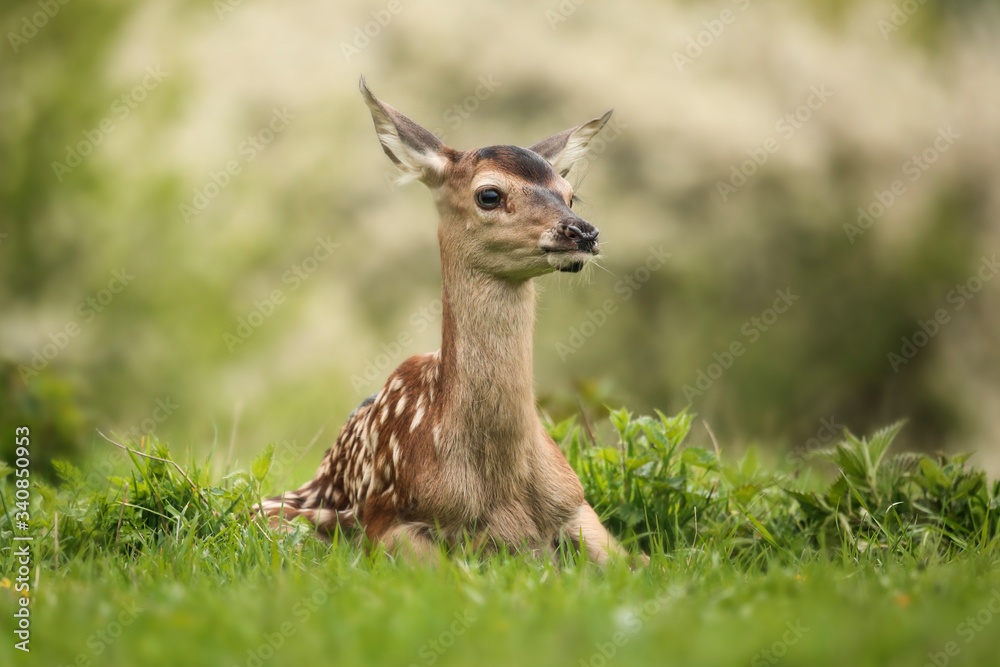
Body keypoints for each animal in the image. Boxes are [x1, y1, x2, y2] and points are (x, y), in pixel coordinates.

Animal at [256, 78, 648, 568]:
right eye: (489, 194)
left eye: (570, 193)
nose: (583, 232)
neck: (500, 490)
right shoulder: (385, 520)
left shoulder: (578, 508)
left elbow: (640, 564)